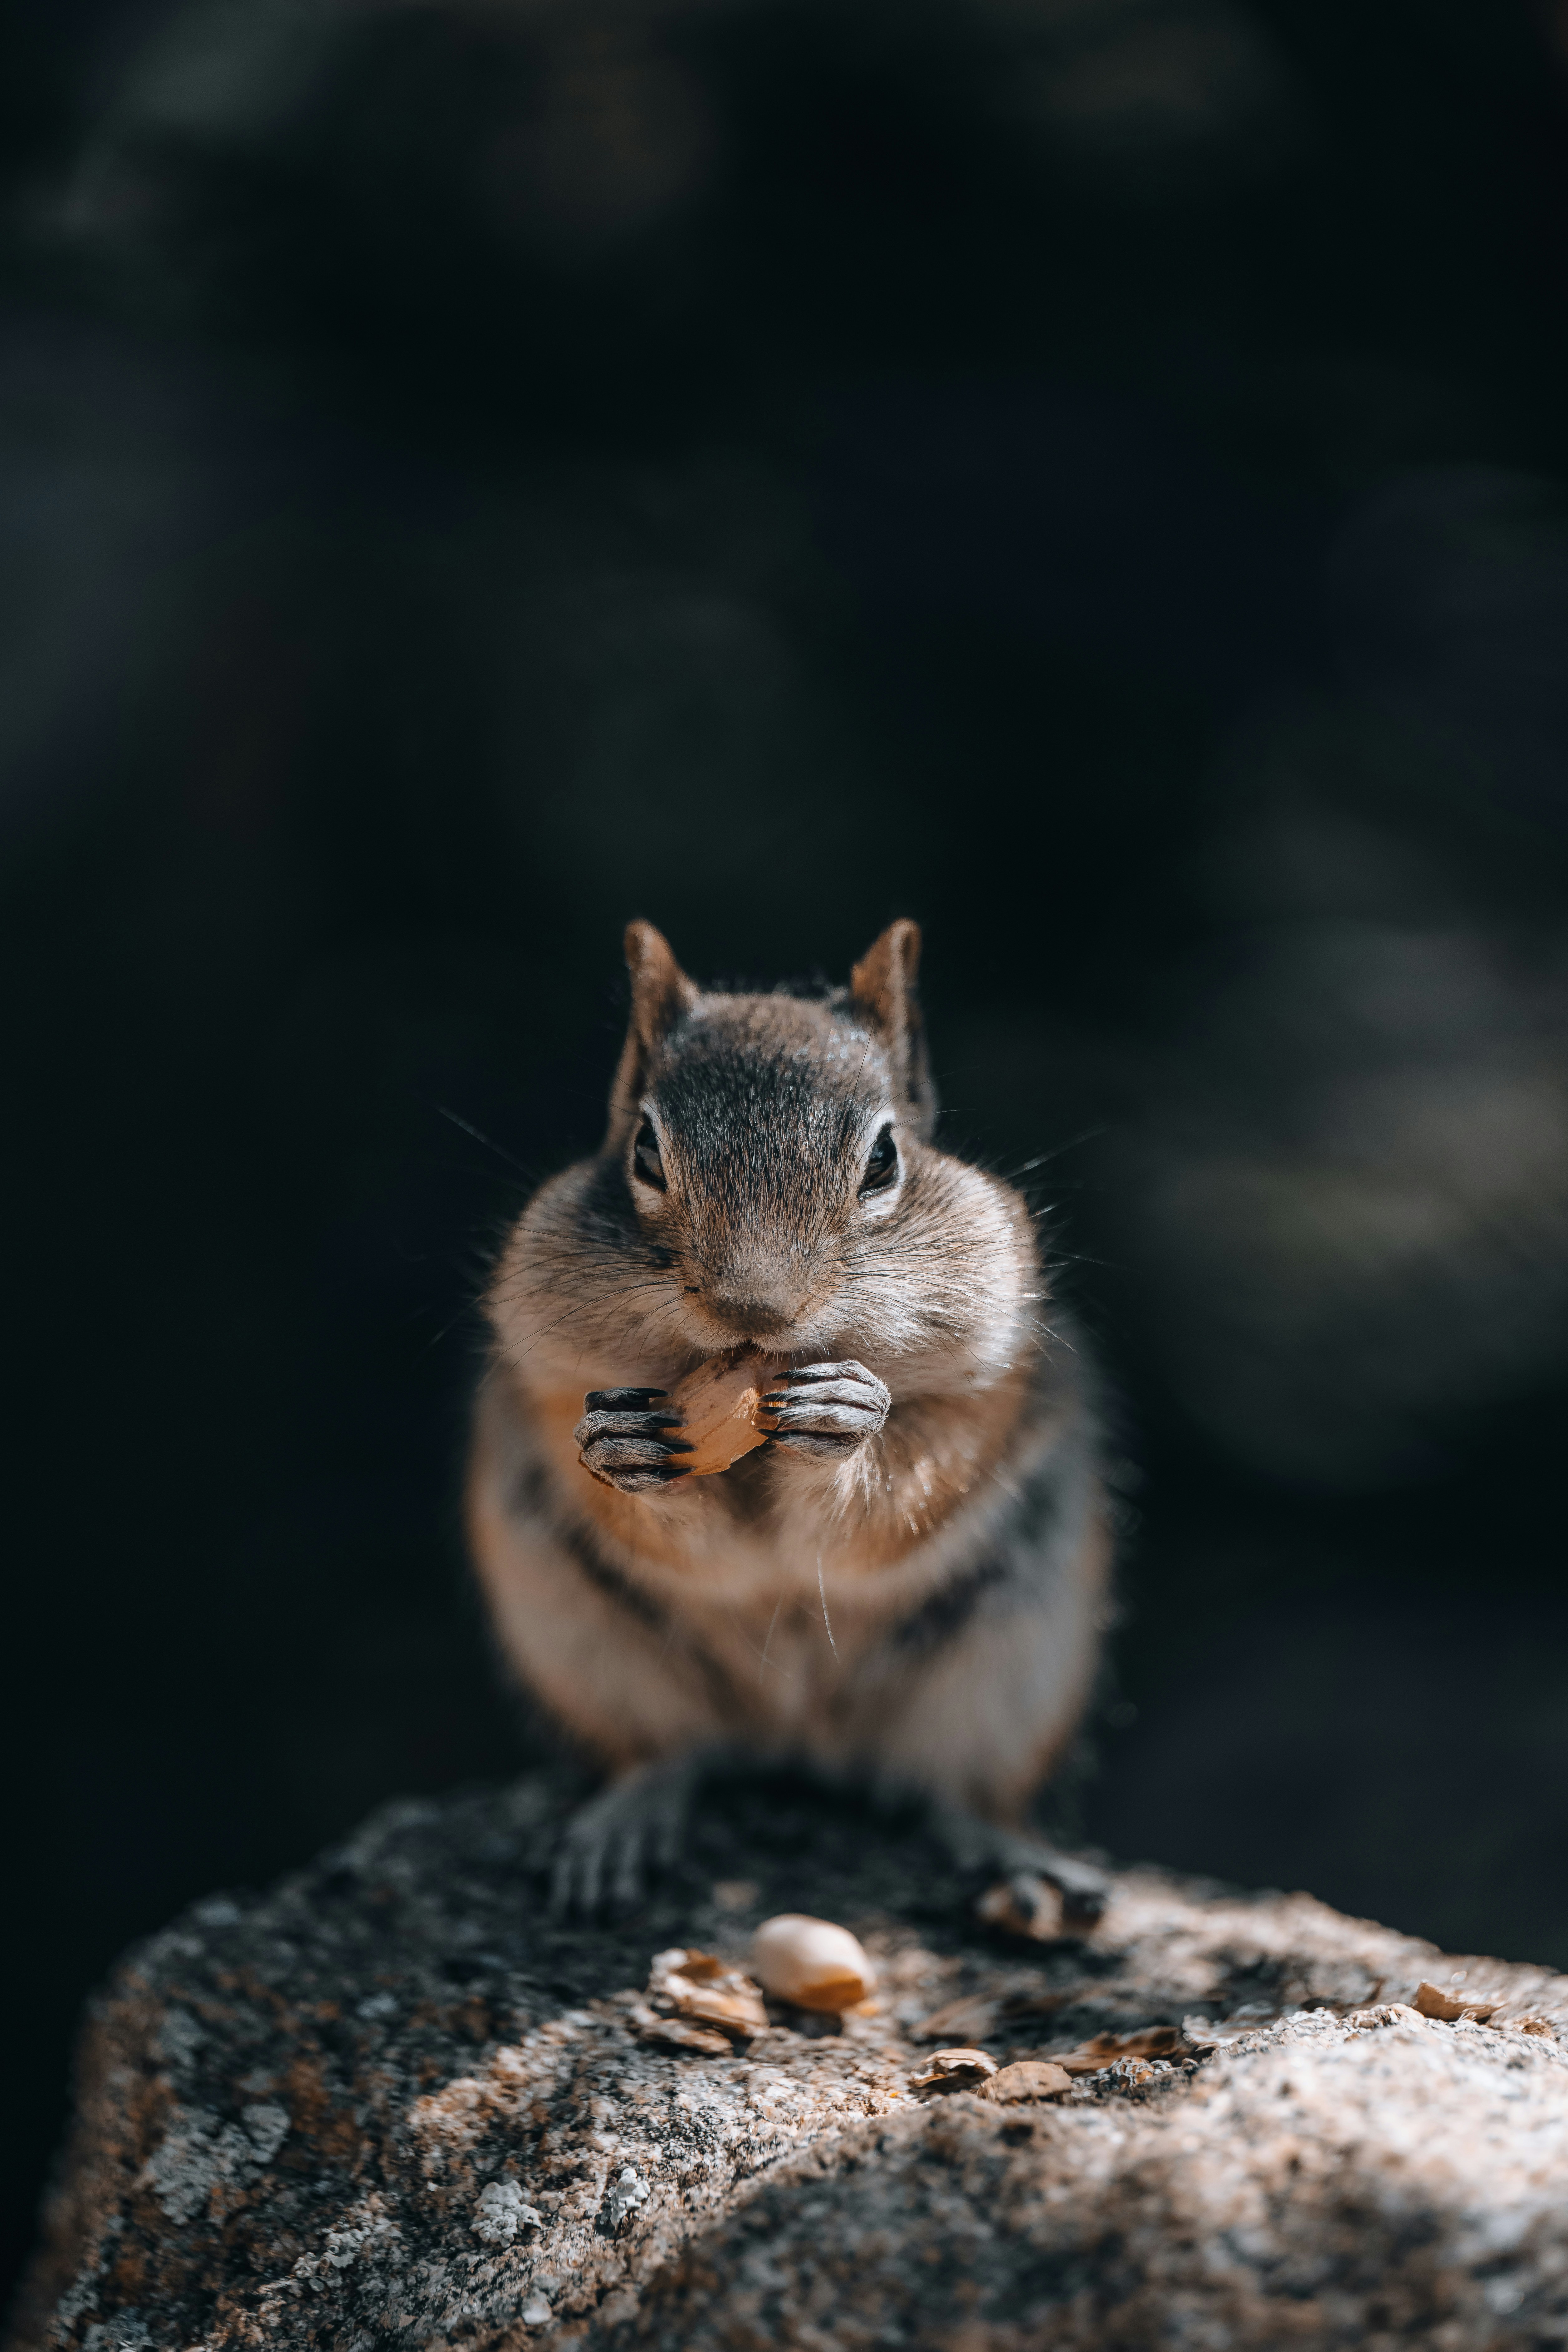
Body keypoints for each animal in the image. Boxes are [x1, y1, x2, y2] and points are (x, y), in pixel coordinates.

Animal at [466, 919, 1112, 1919]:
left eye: (884, 1158)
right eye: (644, 1151)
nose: (754, 1309)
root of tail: (798, 1740)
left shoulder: (990, 1387)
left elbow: (893, 1504)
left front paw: (847, 1424)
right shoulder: (546, 1380)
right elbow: (691, 1543)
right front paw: (620, 1455)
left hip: (1012, 1668)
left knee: (953, 1787)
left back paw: (1008, 1850)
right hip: (589, 1649)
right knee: (670, 1750)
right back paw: (623, 1821)